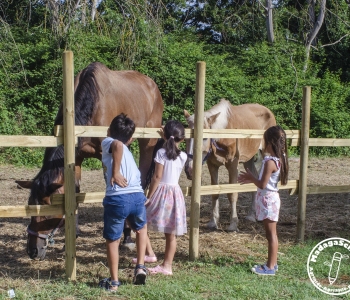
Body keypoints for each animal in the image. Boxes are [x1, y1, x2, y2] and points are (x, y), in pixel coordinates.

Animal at [15, 62, 163, 258]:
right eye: (31, 205)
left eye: (48, 211)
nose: (32, 251)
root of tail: (152, 85)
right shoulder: (76, 158)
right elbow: (75, 191)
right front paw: (71, 239)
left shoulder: (105, 155)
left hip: (148, 142)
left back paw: (128, 235)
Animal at [183, 98, 276, 232]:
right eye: (185, 139)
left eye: (204, 138)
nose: (189, 170)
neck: (223, 133)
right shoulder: (212, 165)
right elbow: (214, 193)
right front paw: (213, 222)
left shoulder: (232, 165)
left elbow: (232, 194)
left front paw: (233, 224)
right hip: (248, 160)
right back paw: (251, 215)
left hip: (266, 154)